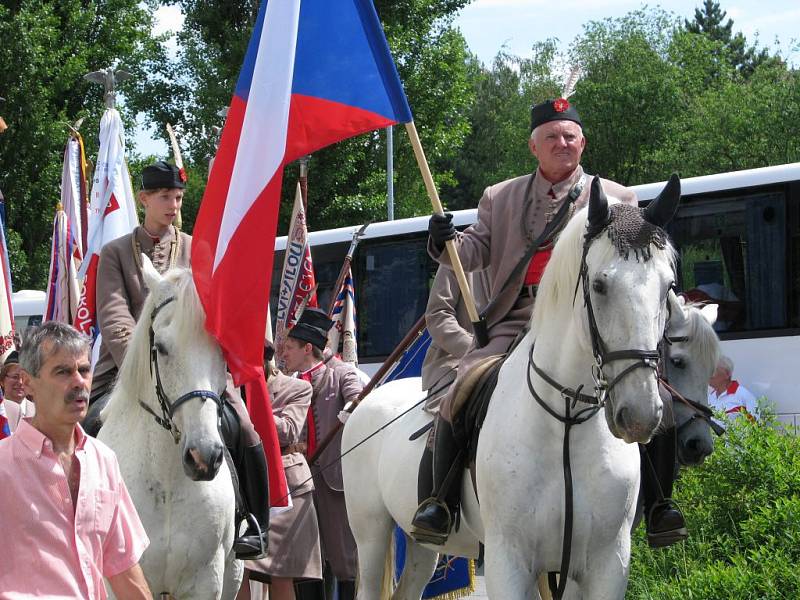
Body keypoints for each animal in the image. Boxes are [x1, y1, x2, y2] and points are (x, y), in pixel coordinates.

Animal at [344, 176, 680, 596]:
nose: (639, 415)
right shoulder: (509, 558)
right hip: (370, 533)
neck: (566, 418)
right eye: (600, 285)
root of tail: (364, 404)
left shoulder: (604, 563)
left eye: (668, 286)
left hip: (420, 545)